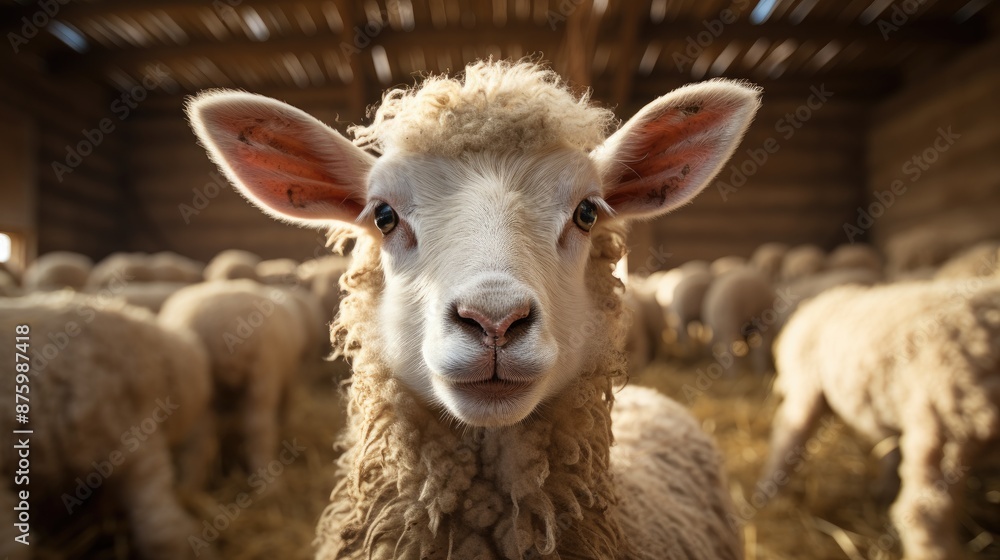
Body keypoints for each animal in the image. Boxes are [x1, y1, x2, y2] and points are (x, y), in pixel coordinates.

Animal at [762, 279, 1000, 560]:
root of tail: (823, 299)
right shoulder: (946, 424)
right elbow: (924, 512)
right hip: (807, 386)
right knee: (788, 438)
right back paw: (772, 494)